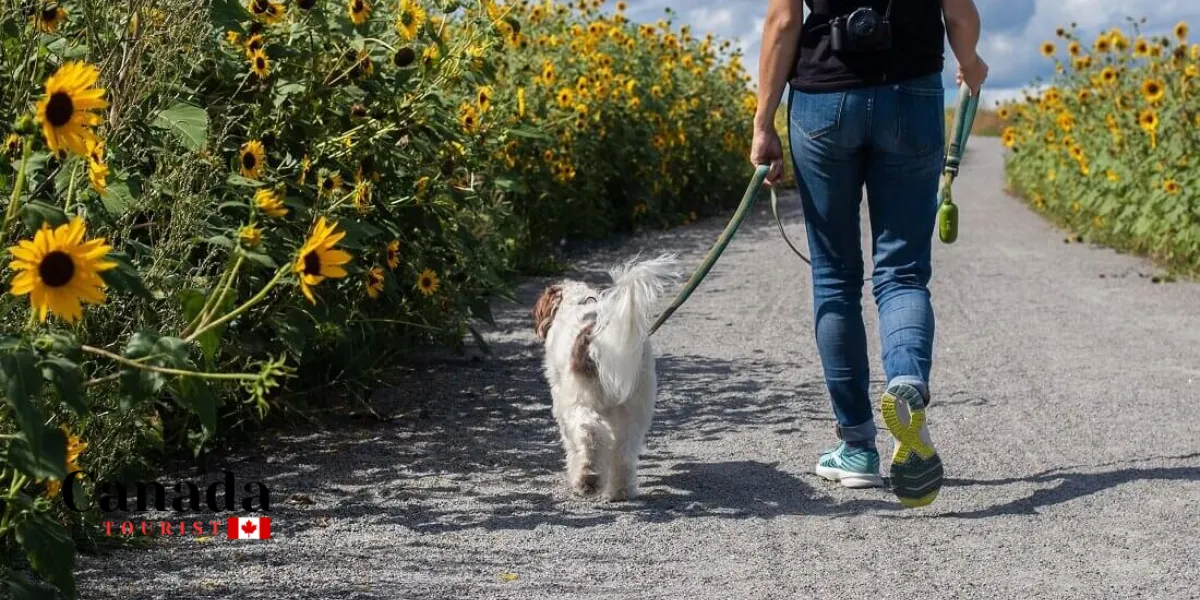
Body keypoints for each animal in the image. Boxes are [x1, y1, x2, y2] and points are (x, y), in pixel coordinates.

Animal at [532, 254, 681, 501]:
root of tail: (597, 336)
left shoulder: (561, 401)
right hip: (635, 407)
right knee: (624, 451)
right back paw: (621, 490)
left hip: (579, 401)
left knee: (589, 433)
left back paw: (587, 480)